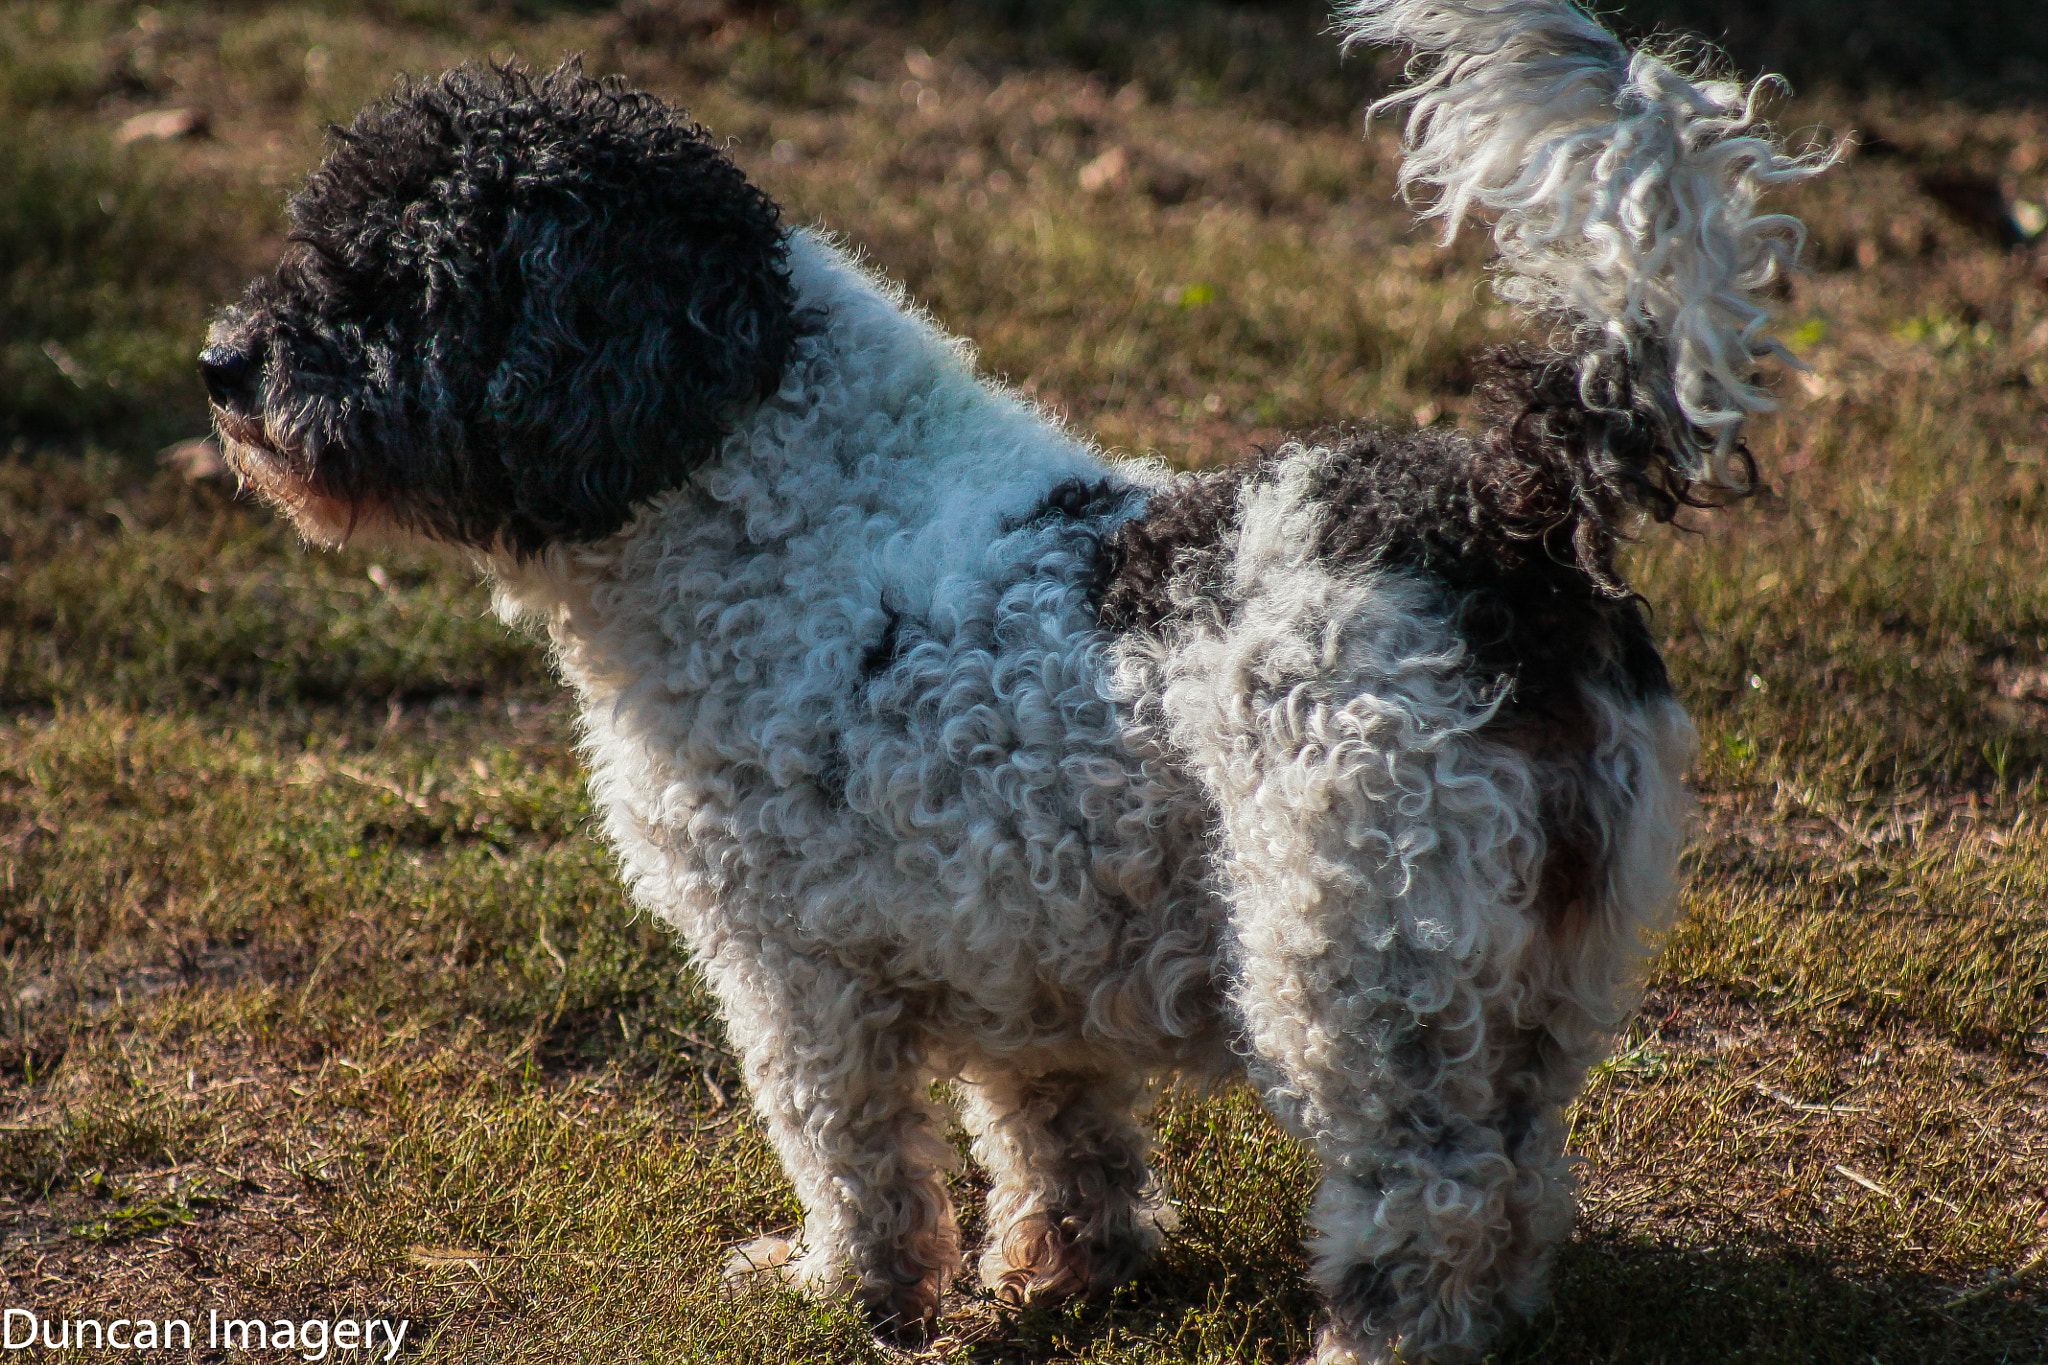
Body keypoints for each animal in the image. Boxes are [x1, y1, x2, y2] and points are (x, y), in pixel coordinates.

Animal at [203, 5, 1826, 1358]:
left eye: (401, 275)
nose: (223, 362)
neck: (761, 488)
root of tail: (1515, 502)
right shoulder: (1018, 941)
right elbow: (1054, 1135)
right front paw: (1060, 1273)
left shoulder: (792, 974)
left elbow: (851, 1159)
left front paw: (843, 1296)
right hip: (1542, 968)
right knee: (1525, 1185)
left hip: (1358, 965)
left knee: (1427, 1201)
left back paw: (1372, 1344)